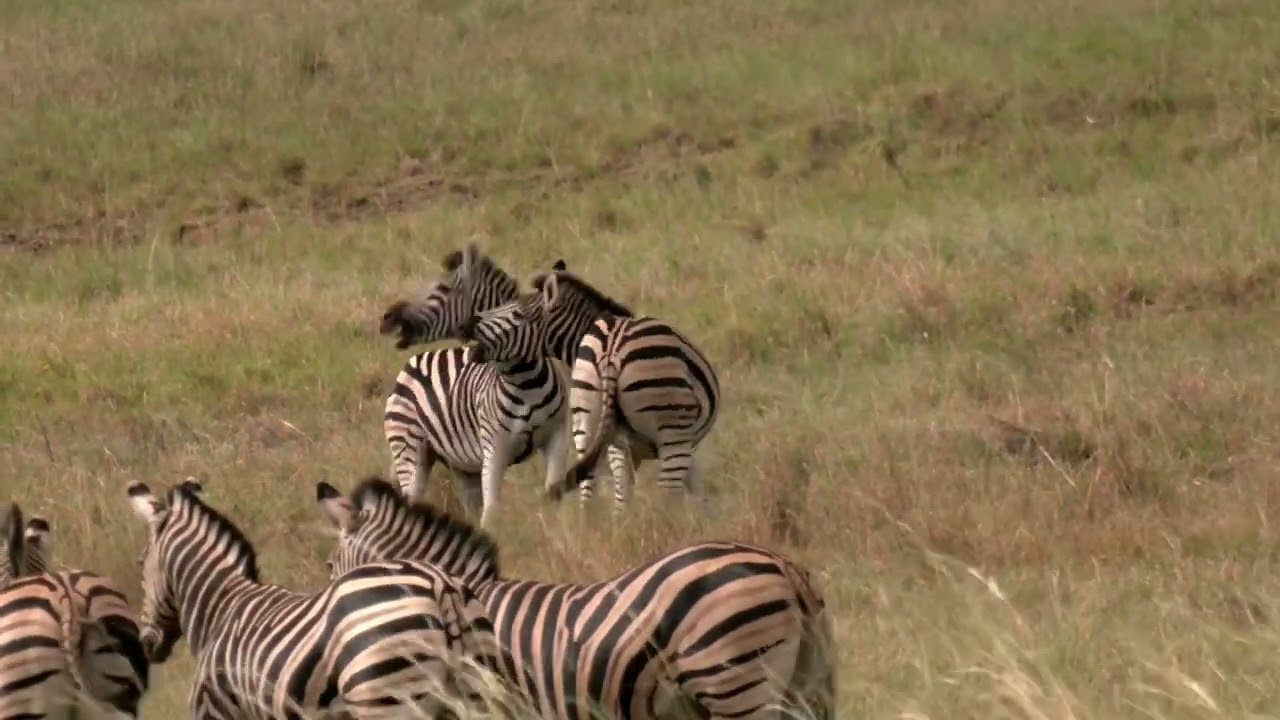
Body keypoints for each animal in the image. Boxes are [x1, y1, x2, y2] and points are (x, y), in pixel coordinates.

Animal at [125, 477, 502, 719]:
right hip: (476, 689)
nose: (147, 644)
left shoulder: (216, 712)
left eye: (141, 563)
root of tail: (440, 587)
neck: (220, 608)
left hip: (387, 697)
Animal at [377, 242, 569, 529]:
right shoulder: (494, 448)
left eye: (443, 289)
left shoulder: (557, 437)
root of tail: (410, 365)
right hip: (410, 450)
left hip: (461, 466)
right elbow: (492, 512)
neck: (525, 381)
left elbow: (554, 494)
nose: (387, 318)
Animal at [458, 262, 721, 512]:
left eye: (518, 314)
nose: (469, 323)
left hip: (586, 421)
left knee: (590, 488)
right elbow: (696, 491)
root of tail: (611, 349)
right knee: (666, 492)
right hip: (670, 432)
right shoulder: (682, 442)